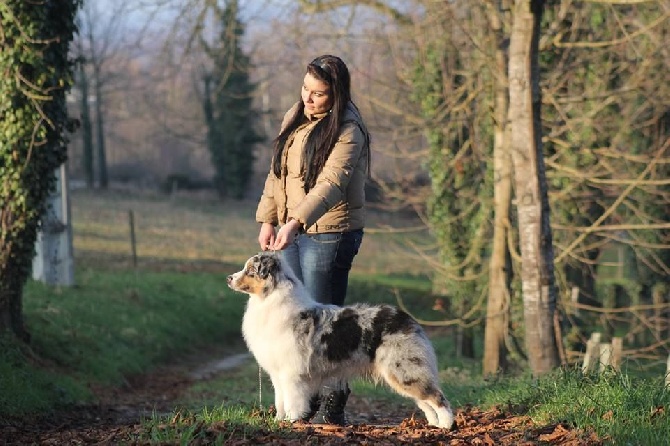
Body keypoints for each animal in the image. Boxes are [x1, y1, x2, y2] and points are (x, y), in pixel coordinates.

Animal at [227, 251, 456, 428]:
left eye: (250, 270)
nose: (229, 278)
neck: (270, 300)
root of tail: (406, 318)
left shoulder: (292, 374)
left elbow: (292, 401)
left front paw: (292, 422)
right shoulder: (278, 374)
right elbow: (280, 401)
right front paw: (278, 421)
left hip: (403, 369)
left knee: (437, 397)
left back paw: (446, 425)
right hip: (404, 372)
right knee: (425, 400)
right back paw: (434, 424)